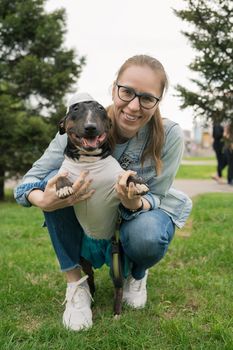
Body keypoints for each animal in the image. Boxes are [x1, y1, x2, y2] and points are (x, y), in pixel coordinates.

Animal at [55, 96, 148, 318]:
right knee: (89, 277)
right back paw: (91, 296)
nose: (90, 127)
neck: (89, 161)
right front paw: (64, 189)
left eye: (100, 109)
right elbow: (60, 178)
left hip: (118, 260)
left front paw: (138, 183)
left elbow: (128, 175)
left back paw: (117, 311)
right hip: (84, 259)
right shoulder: (62, 172)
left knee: (119, 286)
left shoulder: (118, 176)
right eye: (75, 109)